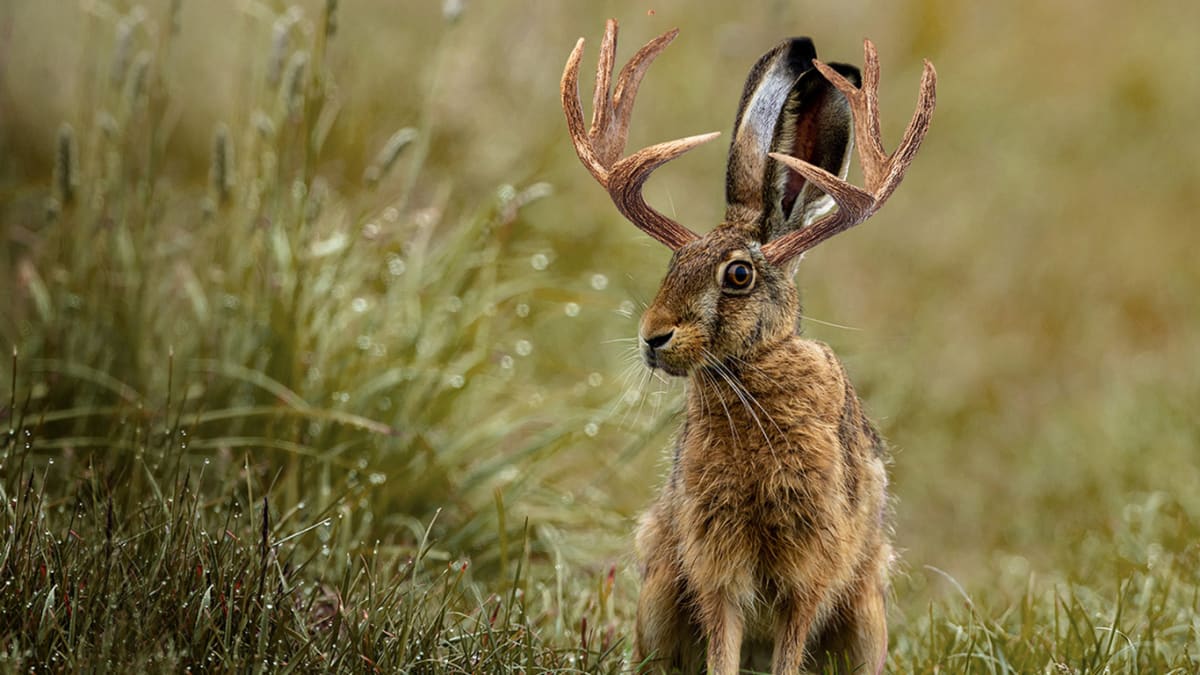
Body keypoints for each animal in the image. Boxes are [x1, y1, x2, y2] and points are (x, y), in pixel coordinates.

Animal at [561, 20, 936, 674]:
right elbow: (722, 643)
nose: (652, 337)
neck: (750, 377)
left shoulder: (811, 568)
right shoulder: (716, 565)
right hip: (659, 591)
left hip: (866, 617)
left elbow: (792, 643)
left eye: (738, 276)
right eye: (673, 266)